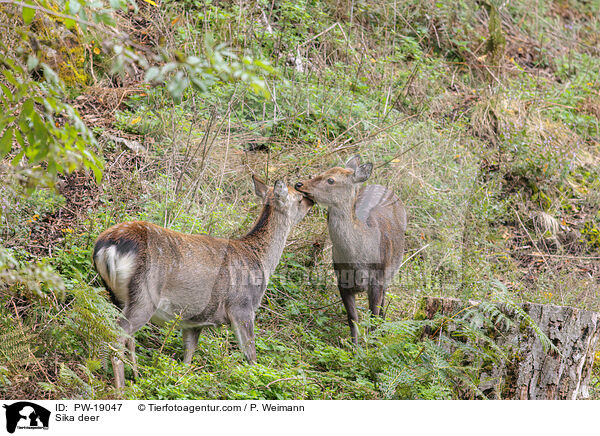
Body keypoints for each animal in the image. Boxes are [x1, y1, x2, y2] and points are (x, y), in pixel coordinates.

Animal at [92, 177, 314, 388]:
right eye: (298, 197)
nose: (310, 200)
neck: (260, 261)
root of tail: (107, 246)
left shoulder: (194, 320)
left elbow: (188, 358)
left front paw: (180, 380)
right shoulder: (242, 307)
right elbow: (250, 355)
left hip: (115, 295)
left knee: (123, 336)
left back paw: (133, 377)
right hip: (144, 295)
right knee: (117, 335)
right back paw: (121, 389)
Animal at [296, 157, 408, 344]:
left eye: (331, 180)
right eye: (323, 171)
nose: (299, 184)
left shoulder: (377, 279)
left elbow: (373, 316)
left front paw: (372, 345)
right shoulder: (342, 281)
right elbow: (352, 318)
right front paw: (354, 346)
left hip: (392, 268)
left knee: (383, 303)